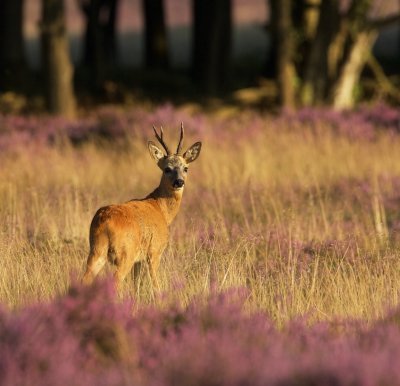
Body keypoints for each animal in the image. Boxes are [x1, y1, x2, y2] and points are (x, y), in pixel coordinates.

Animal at [81, 125, 202, 288]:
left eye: (186, 168)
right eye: (167, 168)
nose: (179, 182)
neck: (161, 208)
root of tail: (104, 221)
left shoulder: (138, 261)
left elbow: (135, 284)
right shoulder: (155, 251)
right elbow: (155, 284)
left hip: (96, 250)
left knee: (85, 278)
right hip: (126, 253)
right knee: (115, 281)